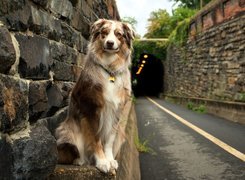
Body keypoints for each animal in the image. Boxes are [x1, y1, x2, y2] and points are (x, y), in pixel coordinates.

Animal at [55, 18, 135, 173]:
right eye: (104, 33)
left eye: (119, 34)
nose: (110, 43)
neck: (110, 70)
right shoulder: (91, 109)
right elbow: (95, 138)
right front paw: (102, 162)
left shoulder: (116, 111)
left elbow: (109, 139)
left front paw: (110, 159)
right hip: (67, 132)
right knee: (71, 153)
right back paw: (80, 160)